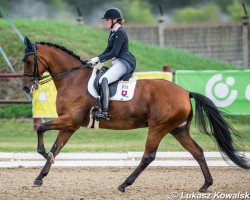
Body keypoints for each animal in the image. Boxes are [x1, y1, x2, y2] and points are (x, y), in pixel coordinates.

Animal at [22, 36, 250, 193]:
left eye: (28, 61)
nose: (26, 87)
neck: (72, 78)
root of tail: (185, 92)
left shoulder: (70, 119)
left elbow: (42, 128)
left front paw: (43, 154)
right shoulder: (70, 125)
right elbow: (56, 148)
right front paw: (40, 176)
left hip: (158, 127)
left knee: (148, 156)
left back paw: (124, 184)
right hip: (178, 130)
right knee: (198, 152)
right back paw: (206, 184)